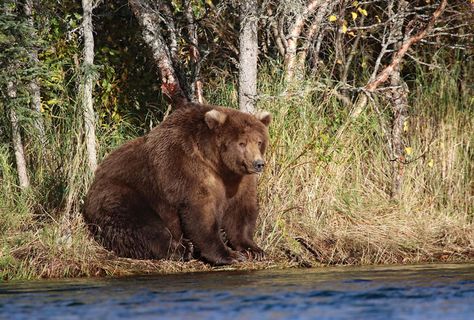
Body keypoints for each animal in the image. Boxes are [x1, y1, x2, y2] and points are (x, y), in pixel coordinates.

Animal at [83, 102, 272, 264]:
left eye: (259, 141)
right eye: (242, 143)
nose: (258, 163)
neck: (217, 164)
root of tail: (93, 183)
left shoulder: (238, 181)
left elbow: (241, 211)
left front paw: (254, 249)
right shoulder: (187, 169)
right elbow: (200, 213)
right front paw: (229, 255)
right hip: (123, 194)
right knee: (142, 226)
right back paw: (183, 249)